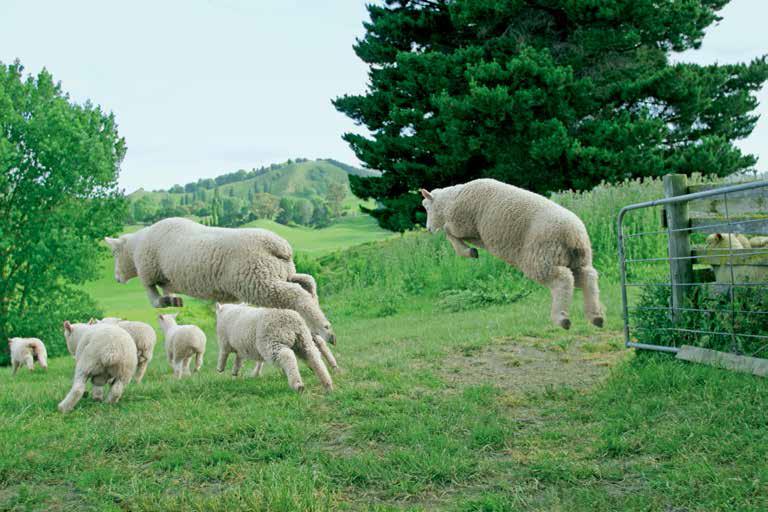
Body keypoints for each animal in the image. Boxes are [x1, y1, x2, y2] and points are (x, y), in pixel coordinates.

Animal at [105, 218, 336, 346]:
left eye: (114, 254)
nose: (116, 278)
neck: (137, 248)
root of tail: (278, 245)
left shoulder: (148, 271)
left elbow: (151, 294)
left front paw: (163, 301)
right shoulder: (166, 278)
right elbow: (166, 290)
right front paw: (173, 300)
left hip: (258, 279)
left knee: (296, 294)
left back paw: (325, 329)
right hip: (279, 272)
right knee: (307, 283)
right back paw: (316, 320)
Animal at [420, 178, 608, 330]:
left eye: (427, 207)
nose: (428, 229)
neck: (451, 201)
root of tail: (574, 235)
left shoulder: (462, 224)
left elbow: (448, 231)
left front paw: (468, 252)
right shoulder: (476, 234)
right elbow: (451, 233)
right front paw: (471, 251)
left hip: (541, 258)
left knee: (563, 280)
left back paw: (561, 318)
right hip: (578, 259)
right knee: (588, 277)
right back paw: (595, 316)